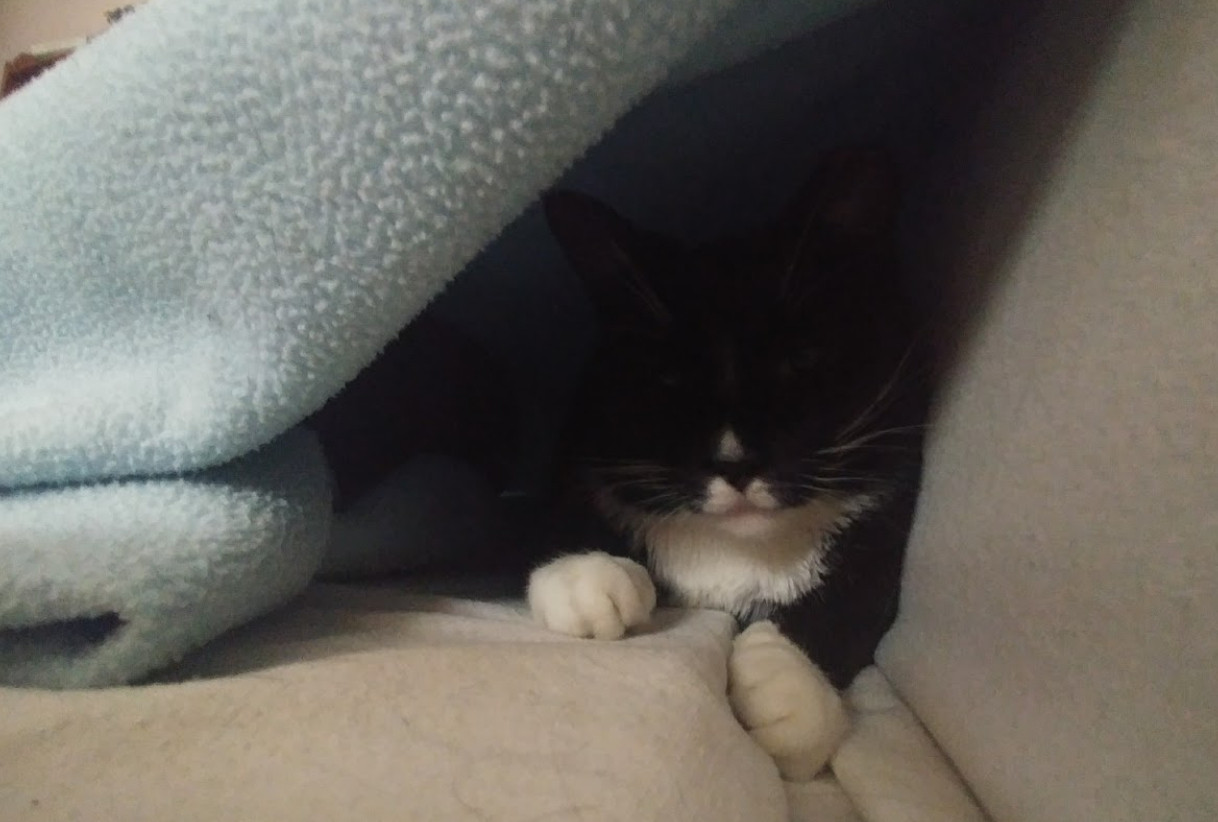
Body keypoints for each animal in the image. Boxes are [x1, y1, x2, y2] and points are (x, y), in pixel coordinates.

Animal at [528, 149, 925, 784]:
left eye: (801, 359)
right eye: (668, 376)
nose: (734, 461)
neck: (737, 547)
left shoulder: (893, 491)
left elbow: (862, 589)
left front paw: (791, 688)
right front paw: (584, 574)